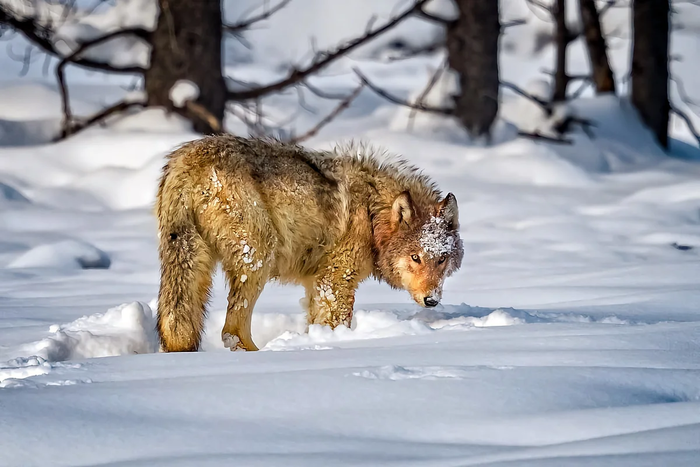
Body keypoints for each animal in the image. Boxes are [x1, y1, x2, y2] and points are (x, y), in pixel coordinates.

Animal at [157, 135, 464, 352]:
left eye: (441, 259)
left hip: (188, 259)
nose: (432, 300)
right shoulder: (336, 280)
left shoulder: (316, 283)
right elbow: (335, 321)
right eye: (415, 258)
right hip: (258, 259)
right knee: (231, 331)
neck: (371, 213)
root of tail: (187, 160)